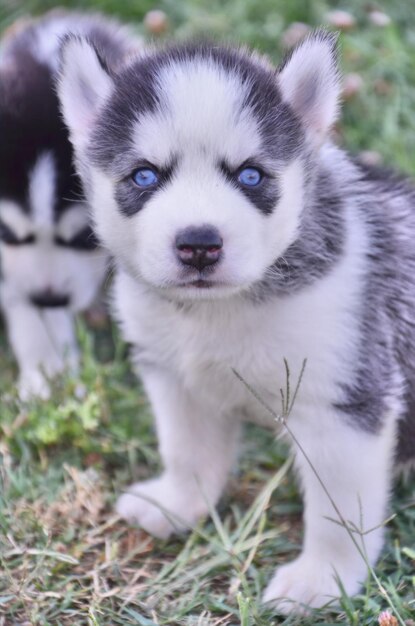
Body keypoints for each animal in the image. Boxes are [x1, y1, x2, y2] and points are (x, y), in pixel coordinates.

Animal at [58, 33, 415, 608]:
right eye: (144, 175)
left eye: (251, 175)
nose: (199, 244)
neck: (219, 310)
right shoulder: (176, 378)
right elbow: (187, 452)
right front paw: (178, 504)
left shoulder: (342, 405)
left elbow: (339, 513)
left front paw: (323, 579)